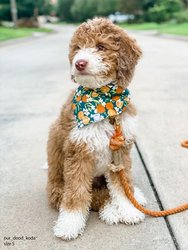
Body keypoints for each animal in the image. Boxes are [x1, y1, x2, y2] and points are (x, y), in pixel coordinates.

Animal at [46, 17, 147, 240]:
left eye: (101, 46)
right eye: (77, 48)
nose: (79, 63)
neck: (103, 103)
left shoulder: (120, 150)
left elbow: (121, 186)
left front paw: (128, 209)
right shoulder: (78, 152)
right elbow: (76, 193)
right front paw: (70, 224)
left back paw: (133, 197)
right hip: (57, 186)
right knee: (90, 196)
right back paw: (109, 210)